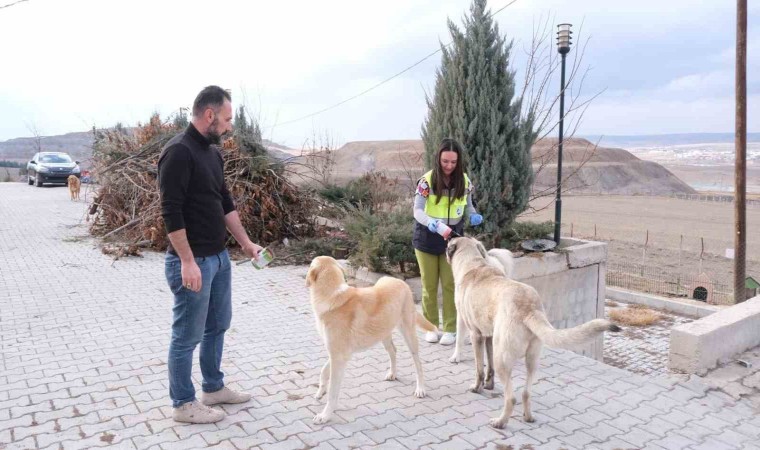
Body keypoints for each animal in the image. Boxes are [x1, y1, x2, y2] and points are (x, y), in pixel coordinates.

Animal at [302, 255, 434, 424]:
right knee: (393, 351)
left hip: (408, 334)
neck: (332, 295)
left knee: (418, 363)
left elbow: (333, 392)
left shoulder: (338, 357)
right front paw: (320, 391)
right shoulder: (338, 354)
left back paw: (420, 389)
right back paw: (392, 373)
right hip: (383, 333)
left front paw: (325, 415)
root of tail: (400, 282)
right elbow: (323, 371)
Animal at [446, 236, 616, 428]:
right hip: (531, 359)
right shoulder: (489, 336)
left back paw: (500, 422)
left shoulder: (476, 335)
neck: (473, 264)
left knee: (511, 398)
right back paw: (527, 417)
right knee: (526, 393)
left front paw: (477, 387)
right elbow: (489, 367)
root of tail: (529, 309)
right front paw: (489, 385)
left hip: (502, 358)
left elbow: (479, 369)